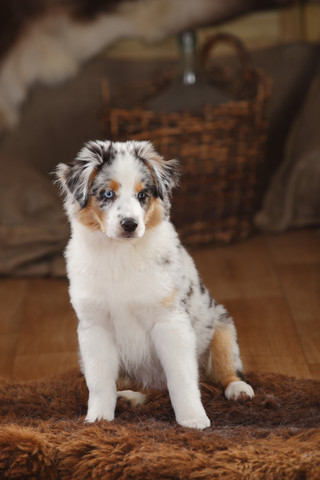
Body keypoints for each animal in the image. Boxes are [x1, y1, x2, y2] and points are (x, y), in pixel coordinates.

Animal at [56, 141, 254, 430]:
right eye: (107, 193)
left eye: (142, 195)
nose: (130, 225)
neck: (120, 254)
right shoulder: (94, 327)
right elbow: (100, 382)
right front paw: (98, 419)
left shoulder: (170, 320)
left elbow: (182, 378)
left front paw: (193, 420)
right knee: (145, 388)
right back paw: (128, 398)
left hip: (222, 327)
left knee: (225, 367)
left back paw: (239, 390)